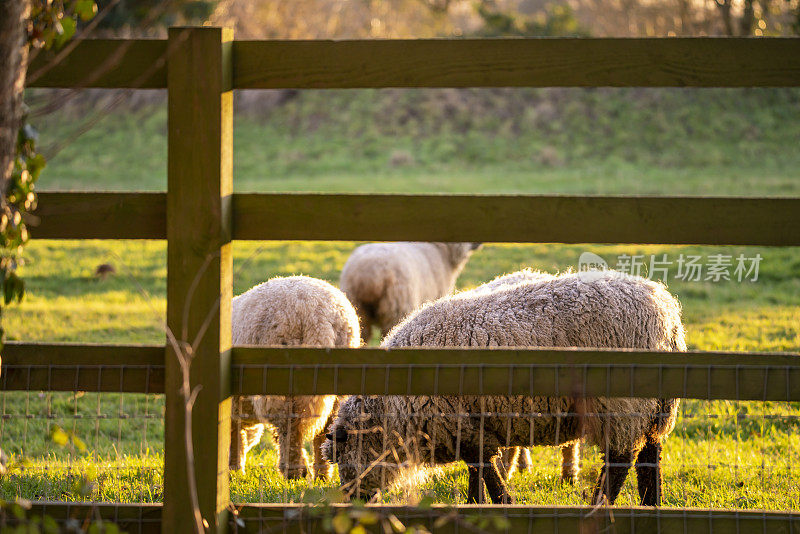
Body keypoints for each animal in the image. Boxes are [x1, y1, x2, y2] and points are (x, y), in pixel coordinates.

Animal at [230, 276, 358, 482]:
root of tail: (317, 314)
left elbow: (234, 436)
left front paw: (233, 469)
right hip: (339, 384)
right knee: (325, 428)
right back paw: (321, 473)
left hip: (281, 379)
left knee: (289, 426)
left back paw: (294, 471)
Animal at [322, 272, 684, 506]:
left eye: (342, 459)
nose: (352, 502)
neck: (392, 410)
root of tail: (667, 314)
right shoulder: (466, 425)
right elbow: (476, 469)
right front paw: (474, 503)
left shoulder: (458, 422)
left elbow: (485, 470)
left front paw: (501, 502)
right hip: (656, 407)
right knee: (650, 454)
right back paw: (651, 504)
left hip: (621, 404)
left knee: (619, 460)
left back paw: (599, 504)